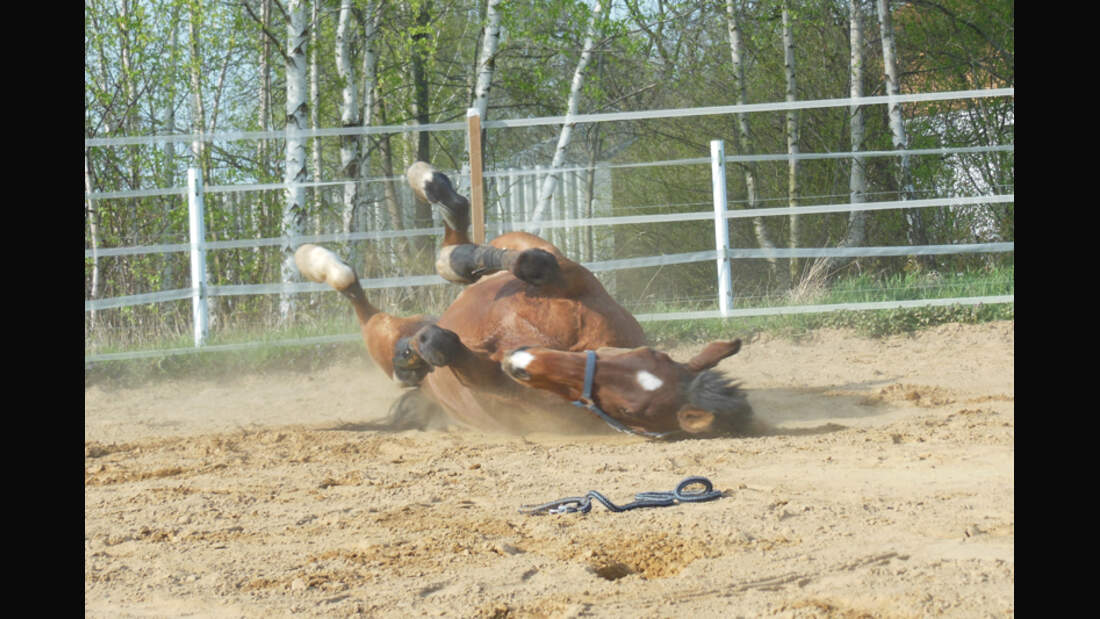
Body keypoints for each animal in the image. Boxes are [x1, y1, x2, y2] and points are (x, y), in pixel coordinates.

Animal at [297, 162, 752, 437]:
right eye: (638, 354)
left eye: (628, 410)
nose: (523, 358)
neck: (562, 345)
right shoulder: (569, 275)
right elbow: (533, 263)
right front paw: (461, 260)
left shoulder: (493, 383)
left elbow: (443, 345)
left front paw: (420, 351)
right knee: (464, 237)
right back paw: (431, 188)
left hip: (384, 335)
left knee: (360, 299)